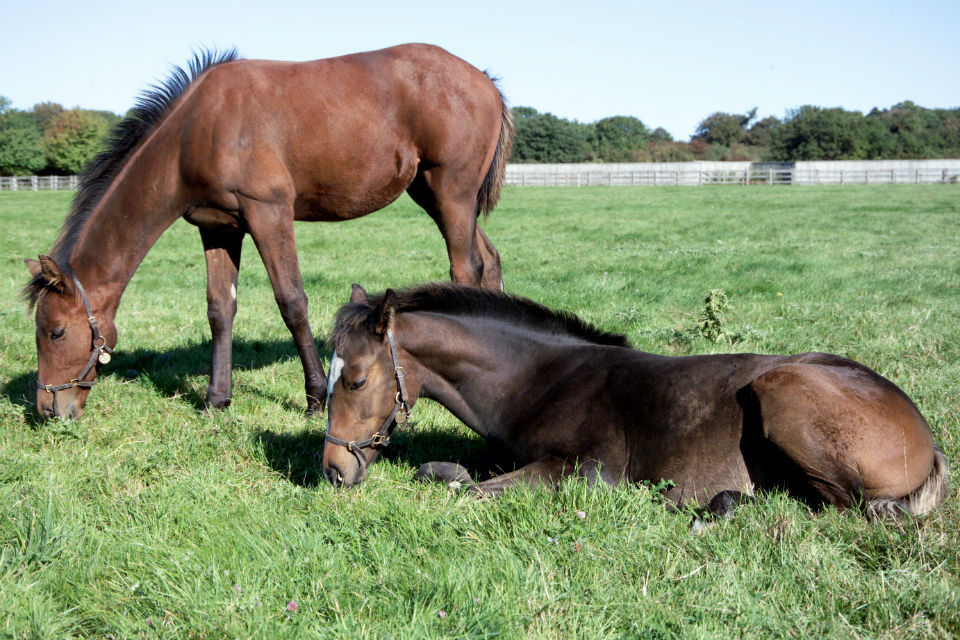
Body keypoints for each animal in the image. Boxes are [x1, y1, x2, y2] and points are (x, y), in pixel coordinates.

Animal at [23, 44, 513, 420]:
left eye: (56, 332)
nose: (49, 410)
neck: (197, 131)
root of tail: (485, 80)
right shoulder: (218, 228)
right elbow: (220, 309)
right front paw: (216, 399)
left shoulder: (269, 213)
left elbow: (292, 301)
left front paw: (315, 397)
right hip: (432, 194)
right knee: (488, 262)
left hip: (451, 193)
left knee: (465, 268)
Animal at [321, 283, 949, 518]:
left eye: (355, 382)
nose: (331, 471)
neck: (539, 380)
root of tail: (925, 433)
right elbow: (444, 472)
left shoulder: (587, 469)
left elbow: (472, 491)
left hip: (782, 392)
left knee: (847, 510)